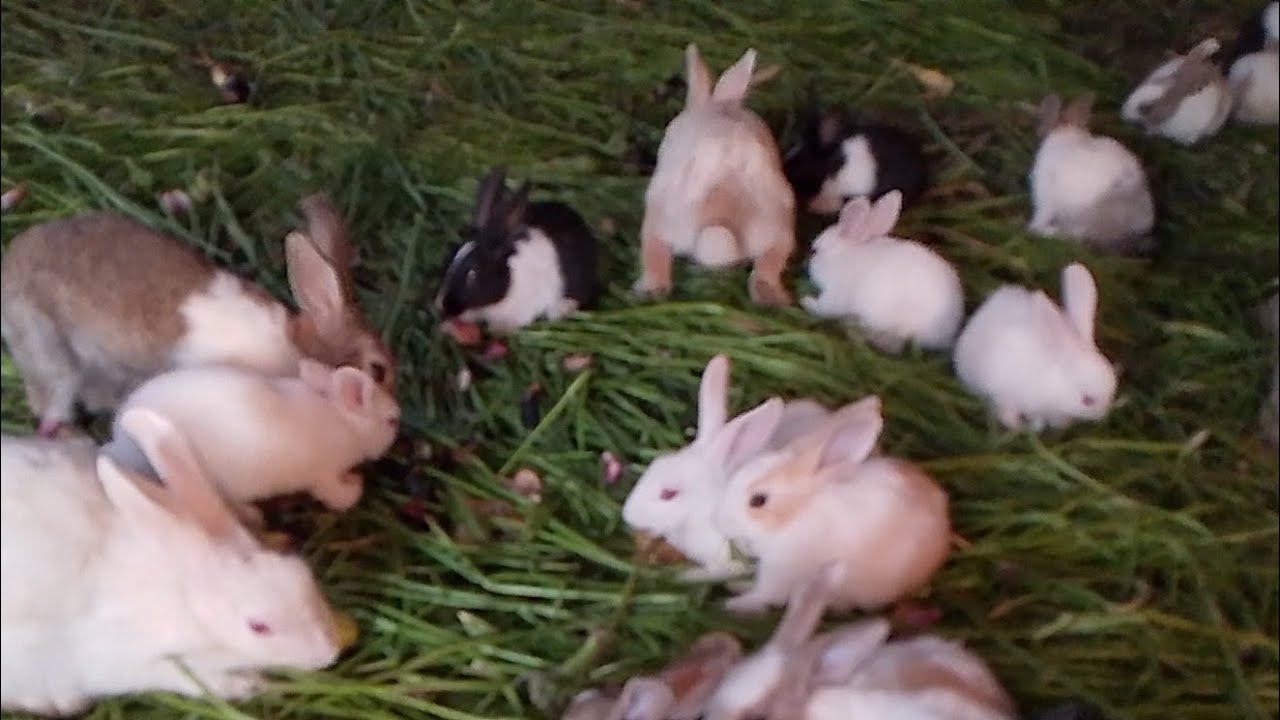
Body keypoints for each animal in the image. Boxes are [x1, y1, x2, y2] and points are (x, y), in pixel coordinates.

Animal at [1, 407, 340, 716]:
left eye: (304, 576)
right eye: (258, 627)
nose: (329, 652)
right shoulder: (127, 660)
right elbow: (189, 680)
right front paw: (247, 685)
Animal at [105, 358, 399, 526]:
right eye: (391, 422)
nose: (399, 417)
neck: (343, 423)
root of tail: (119, 439)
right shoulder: (324, 477)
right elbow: (341, 498)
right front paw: (356, 482)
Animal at [634, 44, 797, 307]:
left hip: (662, 214)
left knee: (654, 250)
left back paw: (649, 289)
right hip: (778, 220)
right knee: (770, 262)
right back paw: (772, 298)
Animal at [714, 398, 951, 614]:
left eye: (758, 500)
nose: (720, 521)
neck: (796, 515)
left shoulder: (779, 575)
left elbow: (763, 596)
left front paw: (733, 602)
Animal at [801, 190, 965, 354]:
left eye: (815, 251)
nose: (807, 267)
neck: (842, 255)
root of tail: (945, 338)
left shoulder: (835, 295)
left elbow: (823, 308)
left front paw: (807, 301)